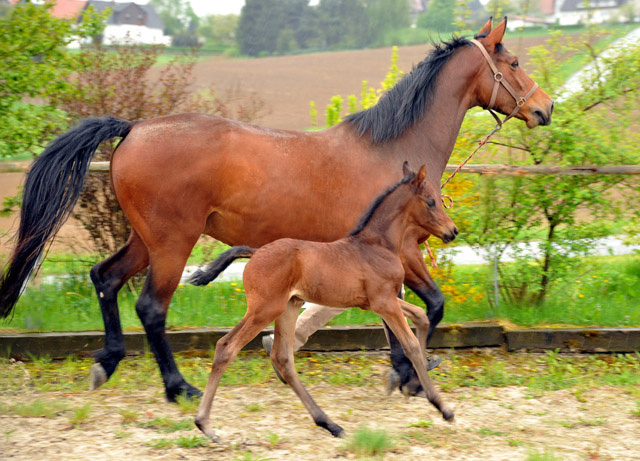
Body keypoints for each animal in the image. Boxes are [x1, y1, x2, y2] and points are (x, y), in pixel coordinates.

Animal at [191, 163, 460, 438]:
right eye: (431, 202)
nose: (452, 231)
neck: (377, 245)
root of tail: (255, 252)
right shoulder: (385, 302)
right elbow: (411, 344)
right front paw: (442, 407)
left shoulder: (377, 302)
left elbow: (421, 316)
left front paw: (415, 383)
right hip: (265, 309)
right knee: (227, 347)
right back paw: (205, 424)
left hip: (288, 307)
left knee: (282, 358)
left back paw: (330, 424)